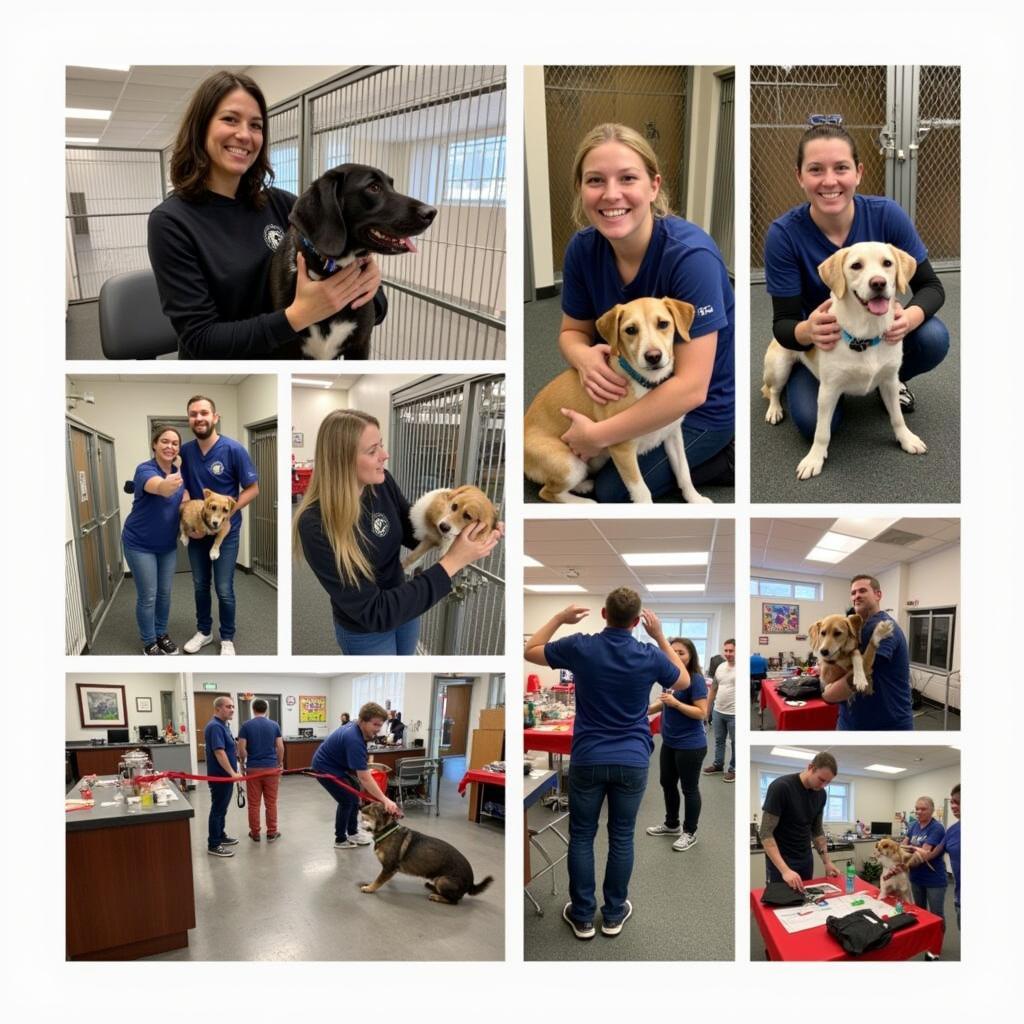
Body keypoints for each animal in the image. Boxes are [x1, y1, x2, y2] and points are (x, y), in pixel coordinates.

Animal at [270, 163, 434, 360]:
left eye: (392, 186)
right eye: (373, 187)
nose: (432, 212)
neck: (331, 270)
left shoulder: (360, 344)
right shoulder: (288, 351)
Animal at [356, 798, 491, 905]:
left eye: (371, 809)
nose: (359, 807)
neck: (387, 831)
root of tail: (471, 883)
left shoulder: (389, 868)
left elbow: (378, 880)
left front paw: (369, 888)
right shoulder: (389, 870)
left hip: (443, 880)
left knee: (454, 901)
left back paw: (436, 897)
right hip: (439, 880)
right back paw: (431, 887)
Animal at [524, 296, 708, 503]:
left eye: (663, 324)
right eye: (631, 330)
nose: (653, 356)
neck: (647, 385)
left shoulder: (673, 434)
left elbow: (684, 472)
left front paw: (695, 499)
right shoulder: (623, 451)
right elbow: (642, 492)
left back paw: (583, 486)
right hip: (569, 464)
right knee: (548, 491)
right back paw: (585, 502)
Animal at [761, 239, 929, 479]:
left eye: (887, 263)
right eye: (856, 266)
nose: (878, 283)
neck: (865, 335)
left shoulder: (889, 381)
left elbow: (897, 417)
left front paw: (906, 439)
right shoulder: (827, 391)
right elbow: (821, 431)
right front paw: (814, 459)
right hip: (779, 366)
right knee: (774, 391)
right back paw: (775, 410)